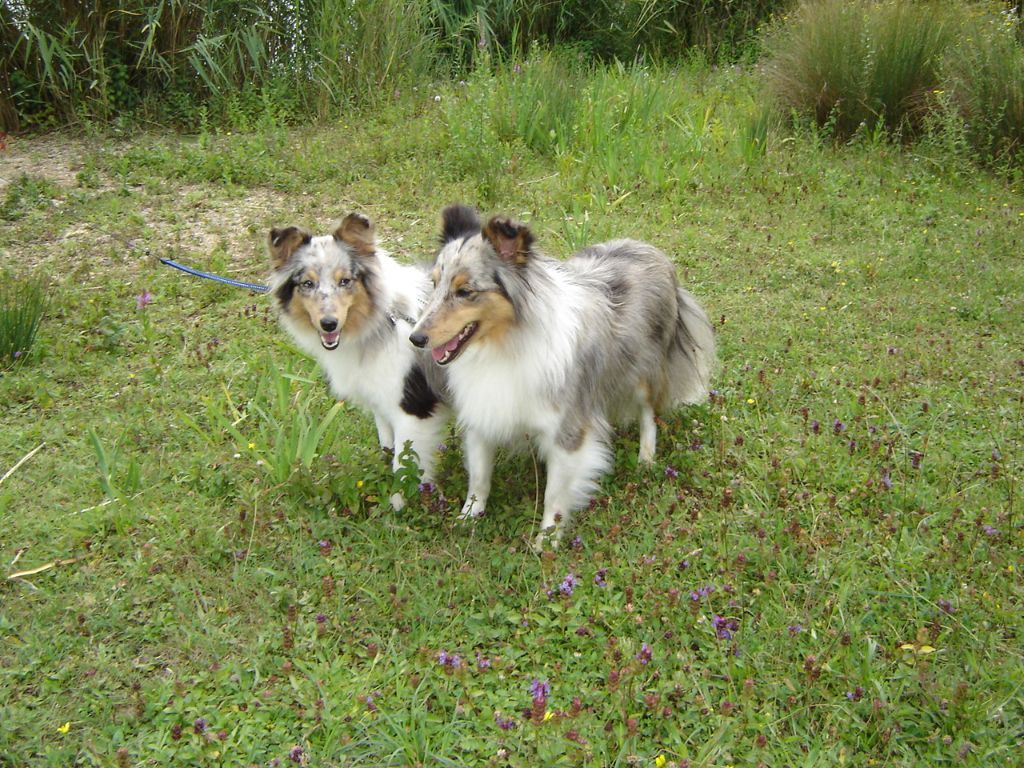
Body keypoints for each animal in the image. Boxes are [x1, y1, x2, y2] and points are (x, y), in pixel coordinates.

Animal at [268, 214, 448, 507]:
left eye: (345, 281)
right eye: (307, 284)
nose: (329, 324)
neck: (381, 323)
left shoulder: (412, 409)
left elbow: (403, 466)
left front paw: (398, 507)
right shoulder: (380, 403)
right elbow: (388, 447)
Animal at [407, 204, 712, 548]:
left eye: (465, 291)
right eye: (434, 284)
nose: (415, 338)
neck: (505, 343)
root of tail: (650, 249)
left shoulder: (567, 432)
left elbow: (554, 495)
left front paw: (546, 543)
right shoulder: (483, 412)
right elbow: (479, 476)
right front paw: (468, 518)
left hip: (644, 373)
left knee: (648, 415)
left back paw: (646, 458)